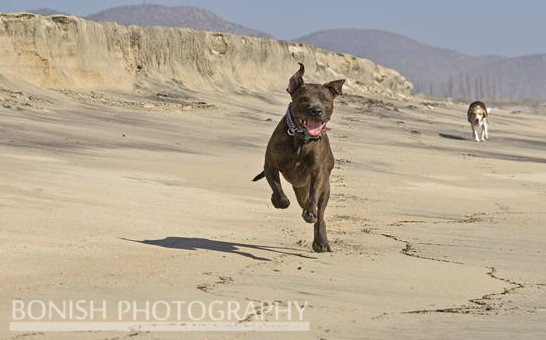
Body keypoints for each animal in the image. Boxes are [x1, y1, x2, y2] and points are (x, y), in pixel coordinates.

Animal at [252, 63, 344, 252]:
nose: (316, 110)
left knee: (320, 214)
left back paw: (320, 241)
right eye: (303, 99)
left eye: (326, 100)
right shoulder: (270, 165)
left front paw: (309, 213)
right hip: (300, 191)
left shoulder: (318, 172)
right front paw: (279, 201)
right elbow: (276, 188)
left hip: (325, 190)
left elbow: (314, 195)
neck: (301, 139)